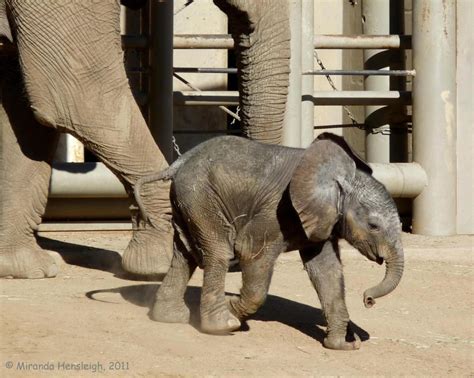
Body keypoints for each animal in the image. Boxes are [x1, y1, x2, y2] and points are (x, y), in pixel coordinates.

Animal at [136, 134, 404, 352]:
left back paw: (172, 318)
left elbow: (326, 270)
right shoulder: (278, 210)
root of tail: (180, 161)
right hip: (200, 196)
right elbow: (250, 250)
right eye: (374, 225)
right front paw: (232, 308)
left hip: (188, 199)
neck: (339, 176)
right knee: (217, 251)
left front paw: (342, 346)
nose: (368, 300)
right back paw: (221, 325)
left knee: (185, 253)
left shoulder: (321, 218)